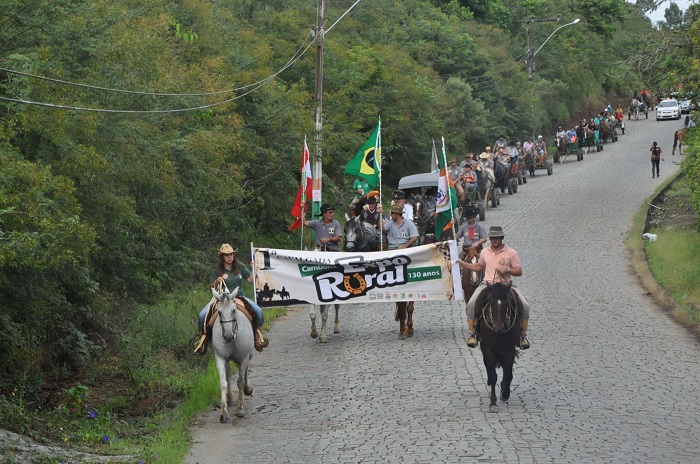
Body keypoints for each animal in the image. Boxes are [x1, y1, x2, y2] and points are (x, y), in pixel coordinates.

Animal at [211, 288, 254, 422]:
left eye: (234, 310)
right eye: (219, 312)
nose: (228, 335)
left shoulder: (244, 357)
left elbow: (240, 382)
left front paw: (240, 409)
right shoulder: (220, 358)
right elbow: (223, 382)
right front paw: (224, 413)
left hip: (249, 355)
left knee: (245, 371)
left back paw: (247, 389)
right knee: (229, 373)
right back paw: (229, 398)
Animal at [476, 280, 520, 412]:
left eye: (506, 302)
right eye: (491, 302)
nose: (499, 328)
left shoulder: (509, 351)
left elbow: (508, 374)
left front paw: (505, 394)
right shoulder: (488, 351)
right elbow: (493, 376)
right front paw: (493, 403)